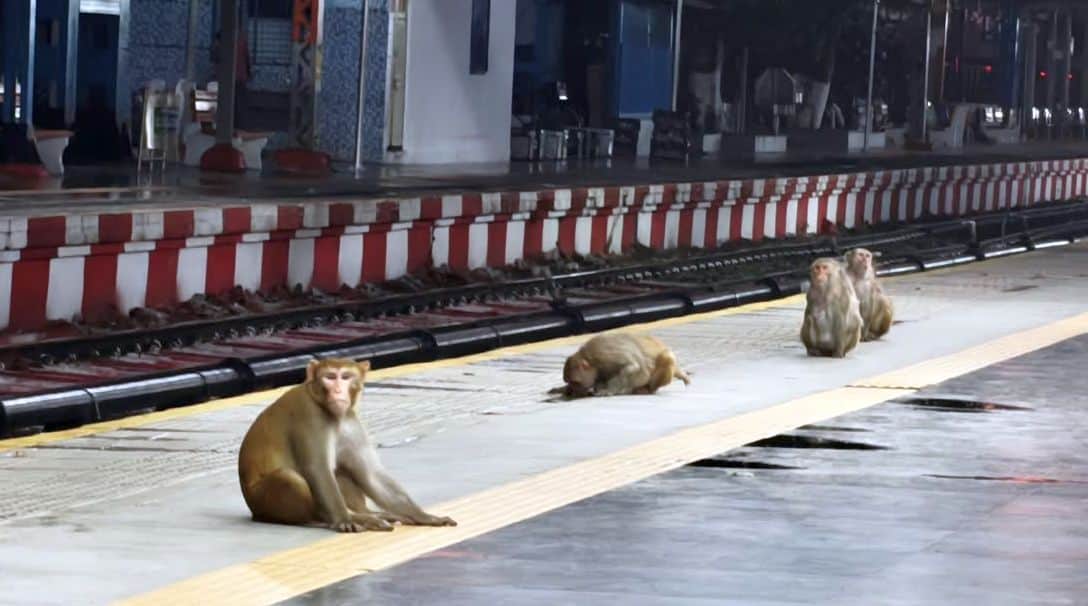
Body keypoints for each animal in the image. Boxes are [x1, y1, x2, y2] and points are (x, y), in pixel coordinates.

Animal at [237, 358, 456, 533]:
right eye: (330, 377)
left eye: (346, 377)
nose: (337, 390)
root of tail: (255, 512)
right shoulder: (309, 416)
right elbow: (317, 469)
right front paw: (345, 520)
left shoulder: (351, 422)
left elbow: (371, 474)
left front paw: (424, 516)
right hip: (265, 502)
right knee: (289, 477)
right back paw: (338, 518)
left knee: (342, 470)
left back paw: (373, 514)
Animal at [558, 332, 691, 397]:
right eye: (570, 382)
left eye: (575, 382)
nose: (574, 391)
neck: (591, 360)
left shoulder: (604, 355)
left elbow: (634, 367)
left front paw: (608, 391)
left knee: (667, 358)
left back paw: (647, 389)